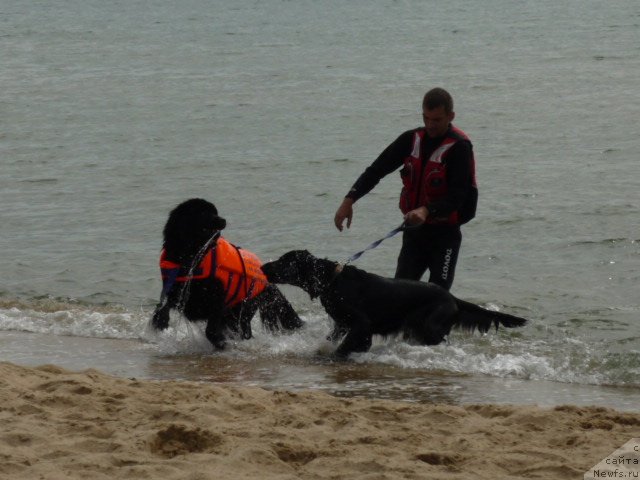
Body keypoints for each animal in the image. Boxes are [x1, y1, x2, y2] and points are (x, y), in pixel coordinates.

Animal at [151, 198, 304, 348]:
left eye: (215, 212)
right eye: (204, 213)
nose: (223, 220)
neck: (191, 258)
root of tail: (267, 281)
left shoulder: (217, 299)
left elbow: (211, 329)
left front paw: (221, 342)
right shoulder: (175, 289)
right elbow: (163, 306)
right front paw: (159, 323)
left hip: (243, 309)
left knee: (243, 331)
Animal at [260, 251, 524, 356]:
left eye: (284, 261)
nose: (263, 266)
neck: (332, 280)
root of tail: (452, 298)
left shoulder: (361, 324)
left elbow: (347, 346)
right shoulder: (341, 323)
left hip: (430, 328)